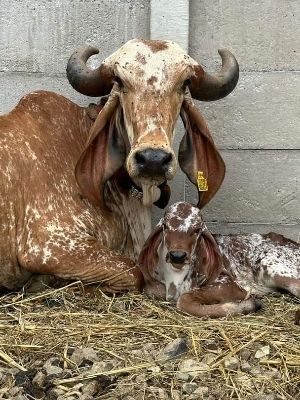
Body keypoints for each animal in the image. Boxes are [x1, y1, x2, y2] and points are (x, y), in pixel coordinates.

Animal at [139, 202, 300, 318]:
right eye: (165, 226)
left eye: (197, 230)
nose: (177, 256)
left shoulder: (230, 284)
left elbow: (184, 300)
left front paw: (247, 305)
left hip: (271, 266)